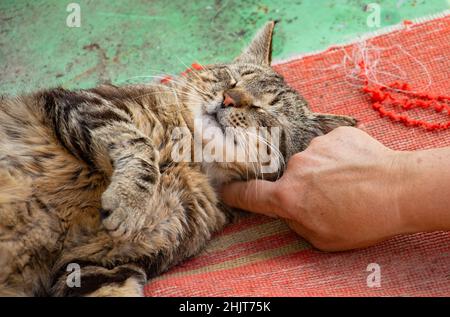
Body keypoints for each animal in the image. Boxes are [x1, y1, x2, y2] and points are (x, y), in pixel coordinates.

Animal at [0, 22, 356, 296]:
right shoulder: (89, 104)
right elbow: (139, 146)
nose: (229, 98)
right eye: (231, 78)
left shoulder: (99, 265)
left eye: (265, 110)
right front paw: (130, 201)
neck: (190, 157)